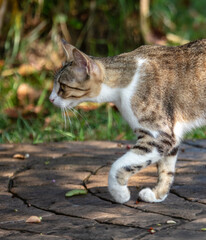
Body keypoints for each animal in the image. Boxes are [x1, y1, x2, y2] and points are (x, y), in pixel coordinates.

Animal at [50, 38, 206, 203]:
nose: (50, 99)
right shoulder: (171, 135)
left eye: (62, 87)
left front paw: (120, 193)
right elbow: (166, 170)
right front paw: (157, 194)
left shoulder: (157, 136)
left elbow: (118, 165)